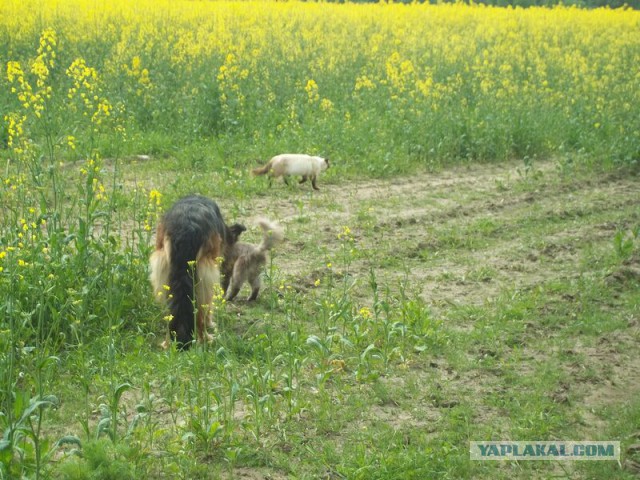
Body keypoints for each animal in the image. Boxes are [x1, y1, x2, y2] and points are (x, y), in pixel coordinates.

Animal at [149, 195, 244, 348]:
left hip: (164, 275)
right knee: (200, 313)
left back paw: (169, 343)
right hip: (205, 277)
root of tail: (185, 229)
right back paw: (206, 339)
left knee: (172, 312)